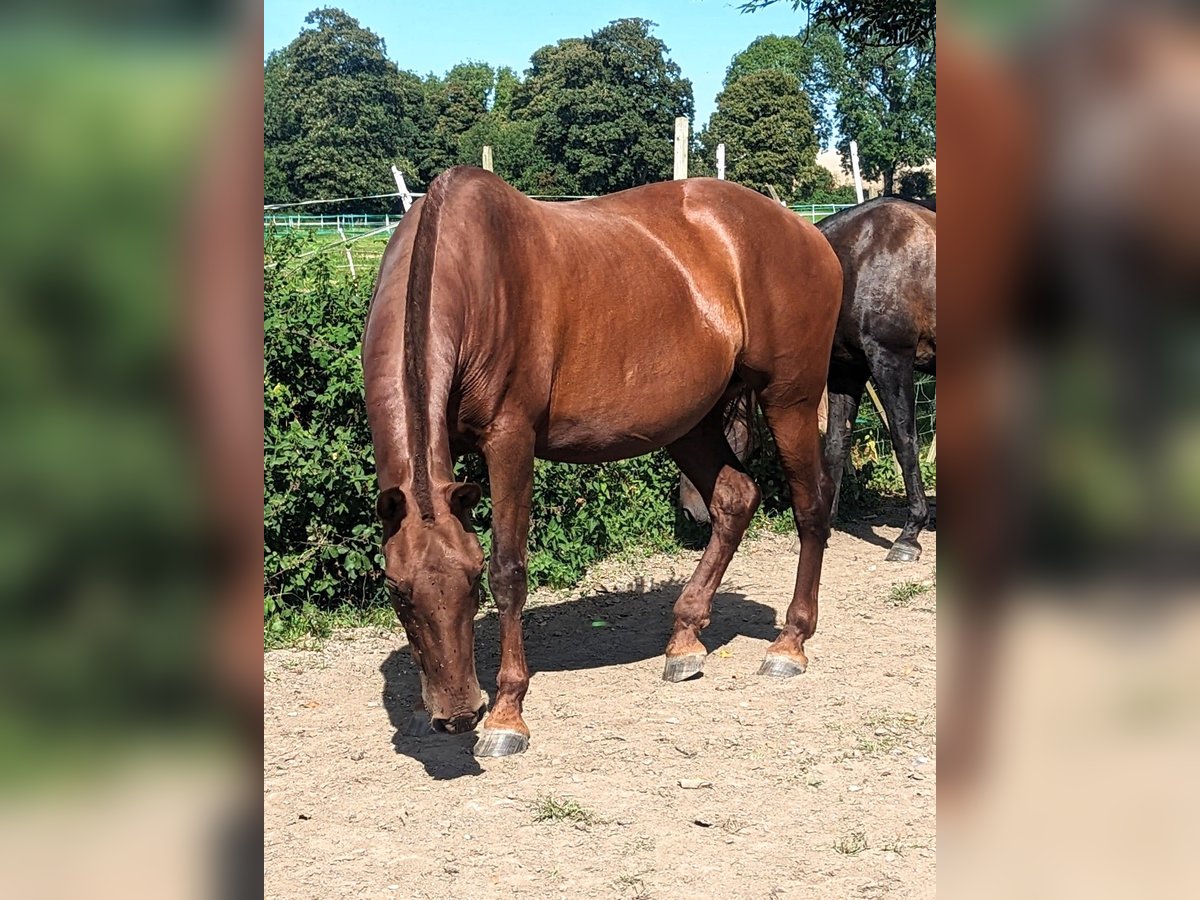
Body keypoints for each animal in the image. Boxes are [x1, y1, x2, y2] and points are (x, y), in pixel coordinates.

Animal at [362, 166, 842, 757]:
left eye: (472, 579)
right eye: (397, 590)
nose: (457, 714)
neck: (471, 270)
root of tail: (810, 233)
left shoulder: (511, 441)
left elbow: (510, 572)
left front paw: (506, 715)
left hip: (789, 401)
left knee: (811, 507)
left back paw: (790, 643)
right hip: (690, 422)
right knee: (735, 499)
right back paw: (684, 639)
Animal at [679, 197, 936, 562]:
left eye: (715, 422)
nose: (690, 510)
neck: (859, 262)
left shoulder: (891, 359)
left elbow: (905, 441)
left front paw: (910, 534)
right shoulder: (846, 371)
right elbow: (836, 446)